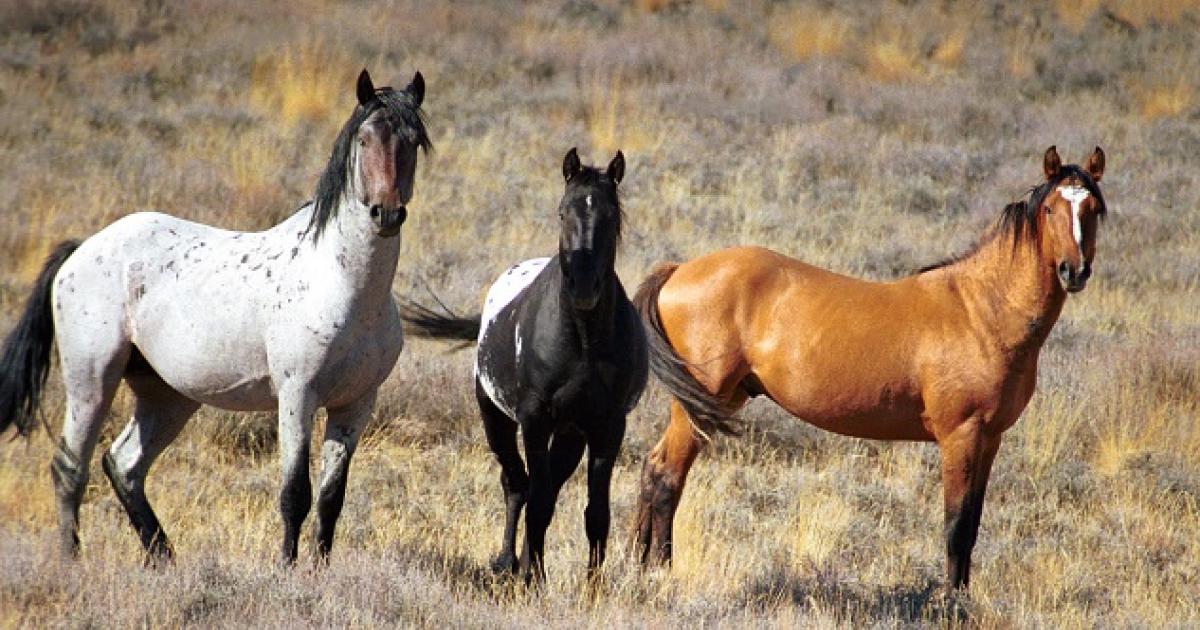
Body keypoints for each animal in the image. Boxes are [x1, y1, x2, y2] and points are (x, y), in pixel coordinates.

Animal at [0, 68, 431, 566]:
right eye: (364, 139)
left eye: (413, 141)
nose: (387, 213)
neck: (344, 287)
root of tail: (82, 248)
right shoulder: (297, 396)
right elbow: (295, 494)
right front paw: (287, 569)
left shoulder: (355, 404)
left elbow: (330, 499)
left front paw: (320, 571)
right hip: (92, 382)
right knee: (70, 467)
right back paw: (73, 560)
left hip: (166, 396)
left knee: (123, 465)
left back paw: (163, 558)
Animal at [400, 148, 647, 584]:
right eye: (563, 213)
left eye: (612, 216)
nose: (584, 288)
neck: (582, 340)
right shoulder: (535, 419)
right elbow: (536, 501)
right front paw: (534, 579)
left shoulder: (608, 425)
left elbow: (595, 514)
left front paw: (592, 586)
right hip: (496, 419)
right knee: (517, 484)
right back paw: (508, 562)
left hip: (570, 433)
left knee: (541, 487)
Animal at [632, 146, 1107, 590]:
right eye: (1050, 209)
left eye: (1093, 209)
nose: (1074, 271)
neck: (982, 310)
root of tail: (678, 270)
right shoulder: (961, 435)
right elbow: (955, 527)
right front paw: (951, 604)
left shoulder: (990, 439)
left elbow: (971, 526)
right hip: (698, 405)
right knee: (666, 476)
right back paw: (659, 573)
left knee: (655, 470)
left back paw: (635, 565)